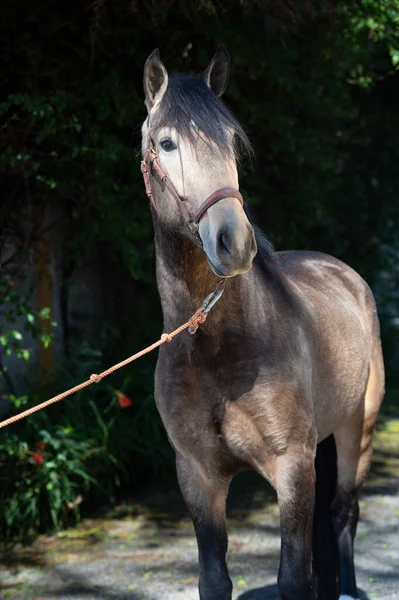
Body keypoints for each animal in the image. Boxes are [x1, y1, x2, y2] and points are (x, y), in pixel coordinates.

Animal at [140, 45, 384, 600]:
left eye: (232, 141)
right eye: (166, 143)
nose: (233, 241)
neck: (217, 348)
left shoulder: (292, 466)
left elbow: (294, 576)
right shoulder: (198, 476)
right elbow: (214, 578)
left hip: (357, 431)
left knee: (344, 513)